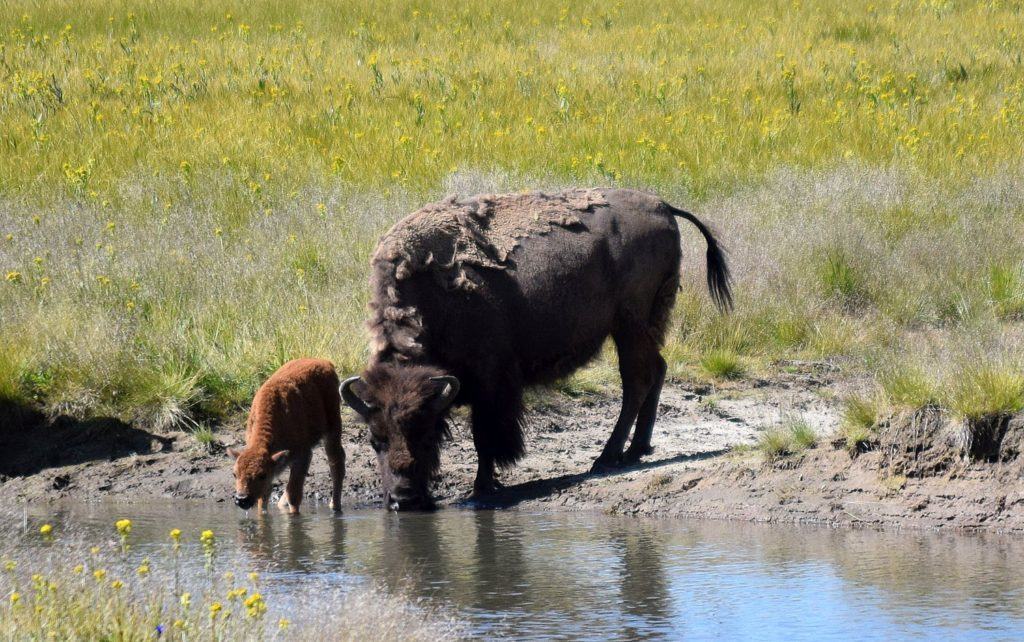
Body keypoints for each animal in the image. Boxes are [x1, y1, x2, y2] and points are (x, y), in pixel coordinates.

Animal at [230, 358, 346, 514]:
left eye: (261, 475)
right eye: (234, 474)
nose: (242, 499)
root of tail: (325, 362)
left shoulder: (302, 456)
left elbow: (294, 493)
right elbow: (264, 497)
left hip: (333, 429)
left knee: (336, 462)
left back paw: (335, 506)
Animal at [339, 188, 733, 509]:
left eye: (425, 434)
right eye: (375, 439)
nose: (402, 500)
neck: (432, 301)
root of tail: (662, 205)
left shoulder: (491, 382)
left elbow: (486, 436)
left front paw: (482, 487)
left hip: (629, 326)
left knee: (636, 381)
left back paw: (606, 458)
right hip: (649, 323)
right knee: (657, 370)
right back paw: (636, 450)